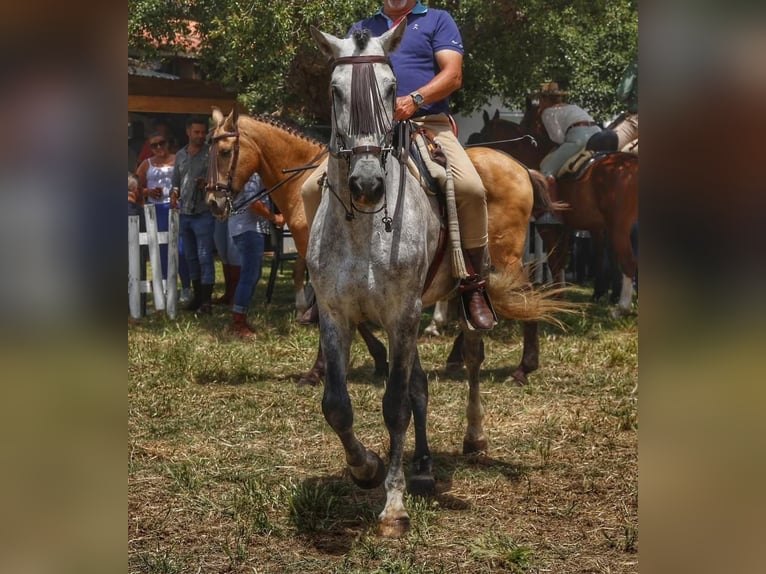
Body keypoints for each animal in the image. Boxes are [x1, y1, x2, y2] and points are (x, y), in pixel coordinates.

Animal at [207, 110, 568, 384]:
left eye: (224, 152)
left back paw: (523, 367)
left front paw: (321, 369)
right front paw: (379, 358)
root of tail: (522, 168)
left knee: (525, 294)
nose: (213, 202)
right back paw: (461, 355)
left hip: (506, 254)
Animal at [304, 21, 568, 536]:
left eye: (391, 89)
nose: (367, 185)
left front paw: (393, 505)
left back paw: (475, 435)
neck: (365, 226)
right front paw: (365, 467)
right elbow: (339, 405)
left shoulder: (402, 314)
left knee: (474, 358)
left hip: (482, 283)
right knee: (422, 384)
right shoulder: (337, 314)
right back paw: (424, 465)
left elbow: (396, 404)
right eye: (336, 90)